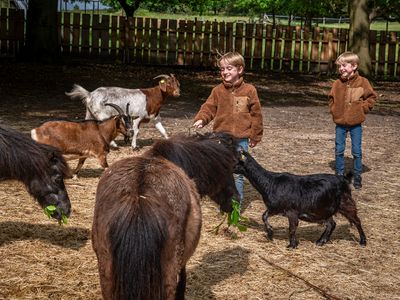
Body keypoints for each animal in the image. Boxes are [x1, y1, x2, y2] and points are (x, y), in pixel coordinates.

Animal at [234, 149, 368, 248]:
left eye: (237, 161)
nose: (230, 169)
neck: (270, 182)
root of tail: (344, 179)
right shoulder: (275, 208)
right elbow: (264, 216)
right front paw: (270, 233)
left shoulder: (292, 211)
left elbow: (292, 228)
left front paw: (292, 245)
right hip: (323, 210)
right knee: (331, 224)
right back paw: (321, 241)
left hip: (345, 204)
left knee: (356, 221)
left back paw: (362, 241)